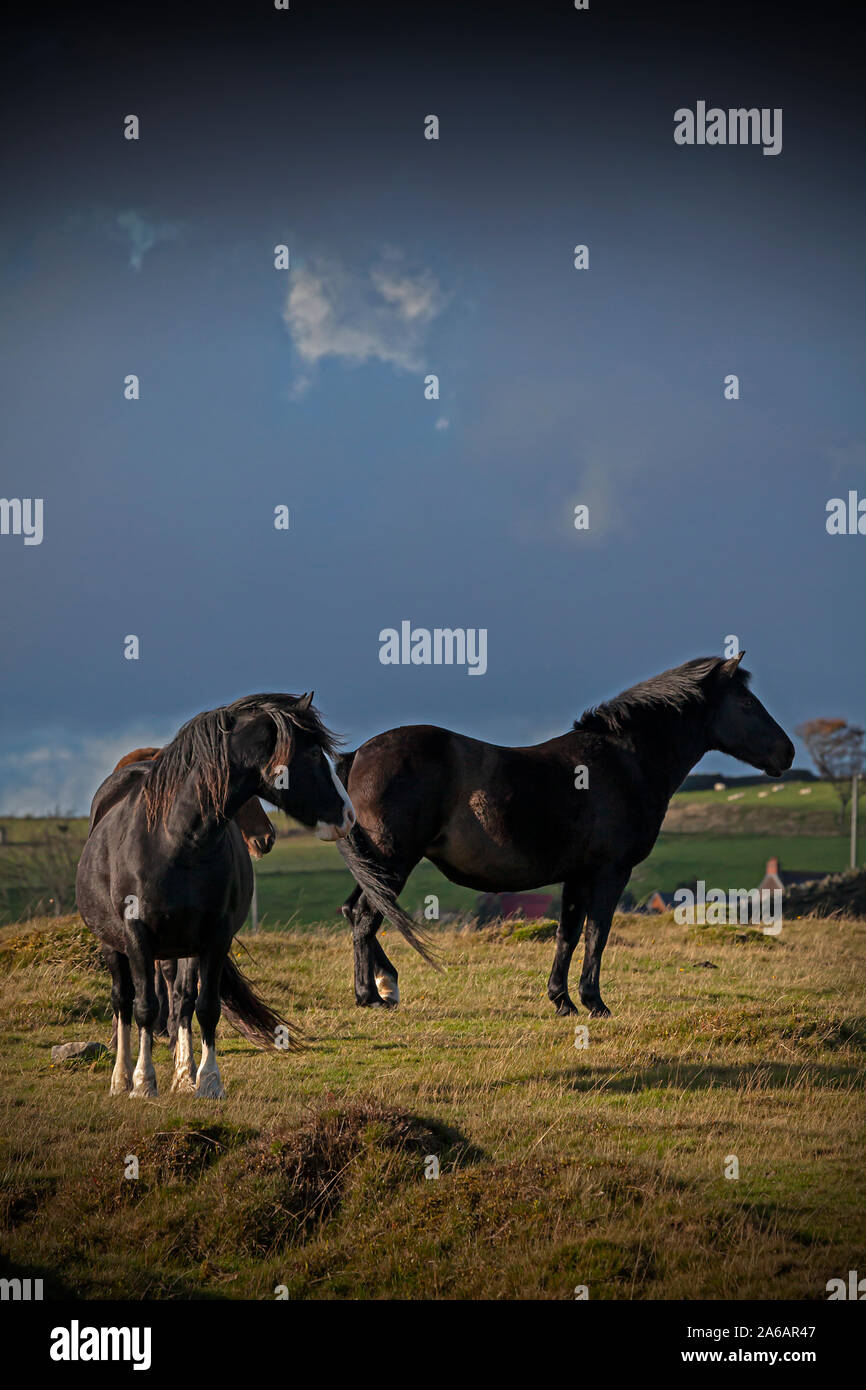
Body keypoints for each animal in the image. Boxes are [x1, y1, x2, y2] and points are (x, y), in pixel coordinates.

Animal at [335, 655, 794, 1014]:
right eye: (747, 702)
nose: (787, 752)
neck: (624, 762)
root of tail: (357, 755)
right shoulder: (610, 872)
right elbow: (596, 935)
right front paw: (594, 1002)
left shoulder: (577, 876)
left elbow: (567, 934)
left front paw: (561, 999)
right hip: (393, 861)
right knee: (366, 917)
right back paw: (369, 995)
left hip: (378, 865)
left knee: (355, 912)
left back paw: (386, 985)